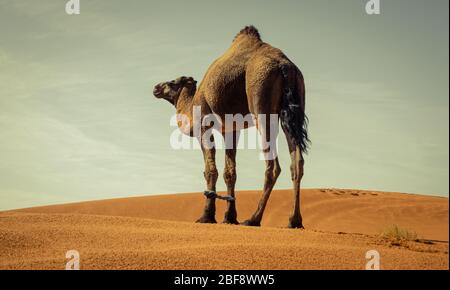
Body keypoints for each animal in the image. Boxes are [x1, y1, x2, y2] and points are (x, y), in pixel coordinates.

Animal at [152, 26, 310, 228]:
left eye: (172, 82)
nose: (156, 88)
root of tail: (284, 66)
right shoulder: (232, 129)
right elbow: (230, 172)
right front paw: (229, 217)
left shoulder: (204, 125)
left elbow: (210, 171)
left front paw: (206, 216)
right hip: (294, 105)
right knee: (297, 162)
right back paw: (294, 220)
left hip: (261, 101)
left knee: (273, 165)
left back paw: (253, 218)